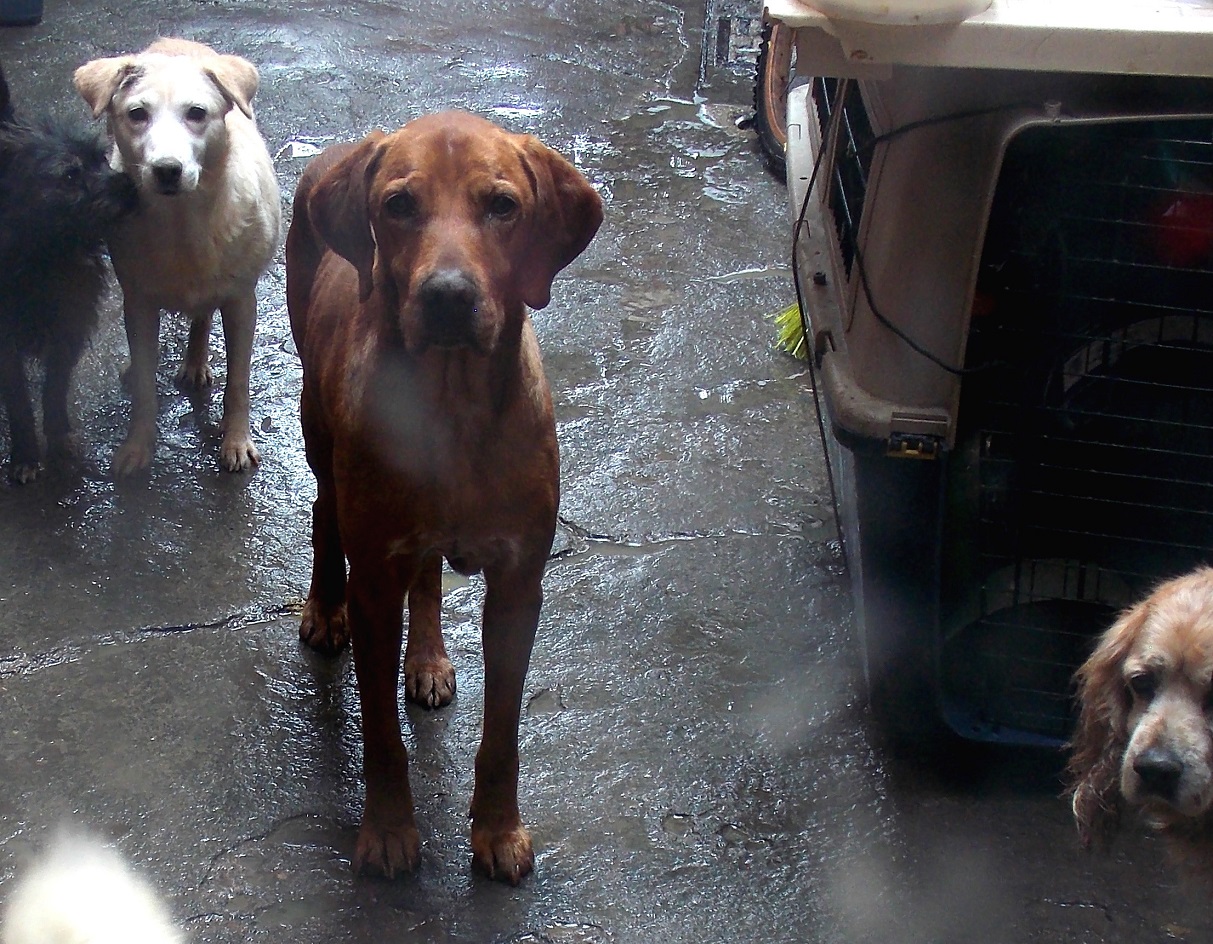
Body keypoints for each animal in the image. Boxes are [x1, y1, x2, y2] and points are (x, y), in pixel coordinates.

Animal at [0, 62, 136, 482]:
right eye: (70, 176)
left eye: (101, 159)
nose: (131, 185)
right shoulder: (5, 342)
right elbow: (18, 397)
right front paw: (26, 453)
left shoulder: (69, 325)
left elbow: (54, 388)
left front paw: (59, 438)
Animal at [75, 39, 281, 475]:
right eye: (137, 114)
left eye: (196, 113)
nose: (167, 170)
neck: (182, 223)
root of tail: (175, 42)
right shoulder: (138, 303)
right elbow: (144, 388)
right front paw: (138, 446)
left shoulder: (242, 302)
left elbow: (239, 381)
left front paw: (236, 440)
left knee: (202, 317)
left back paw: (197, 361)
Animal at [285, 112, 606, 883]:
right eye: (398, 205)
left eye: (503, 206)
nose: (449, 296)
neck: (451, 410)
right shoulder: (374, 583)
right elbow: (379, 732)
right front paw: (388, 829)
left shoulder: (519, 584)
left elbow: (504, 731)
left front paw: (498, 829)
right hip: (316, 427)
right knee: (323, 512)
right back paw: (323, 608)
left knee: (427, 572)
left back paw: (427, 658)